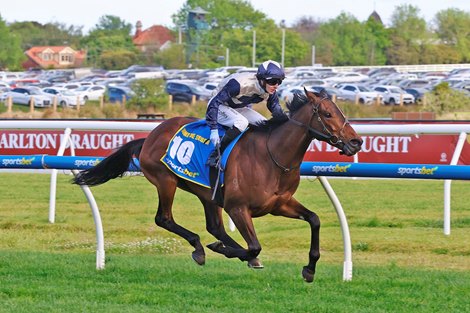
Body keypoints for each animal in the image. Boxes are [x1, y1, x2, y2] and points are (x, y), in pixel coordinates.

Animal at [73, 88, 362, 282]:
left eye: (341, 112)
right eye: (327, 114)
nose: (356, 142)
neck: (272, 155)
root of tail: (151, 135)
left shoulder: (279, 204)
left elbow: (314, 219)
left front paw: (309, 268)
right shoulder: (238, 207)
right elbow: (255, 245)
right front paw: (234, 252)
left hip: (207, 193)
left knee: (214, 226)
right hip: (166, 181)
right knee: (164, 218)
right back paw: (202, 248)